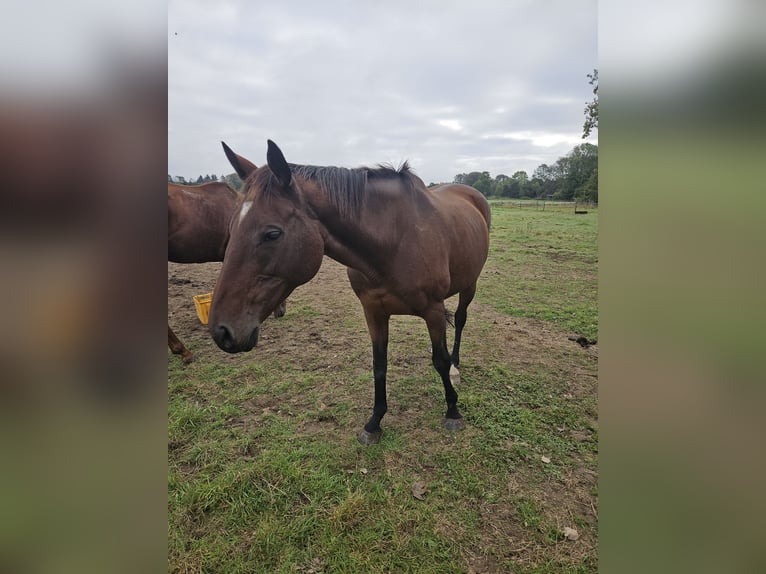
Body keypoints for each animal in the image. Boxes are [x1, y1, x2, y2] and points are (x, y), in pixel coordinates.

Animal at [208, 141, 492, 446]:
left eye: (272, 234)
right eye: (231, 228)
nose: (222, 332)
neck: (395, 240)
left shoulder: (433, 310)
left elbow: (439, 360)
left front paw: (453, 410)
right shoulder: (373, 310)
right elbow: (379, 364)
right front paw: (374, 422)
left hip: (470, 284)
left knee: (460, 321)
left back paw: (455, 365)